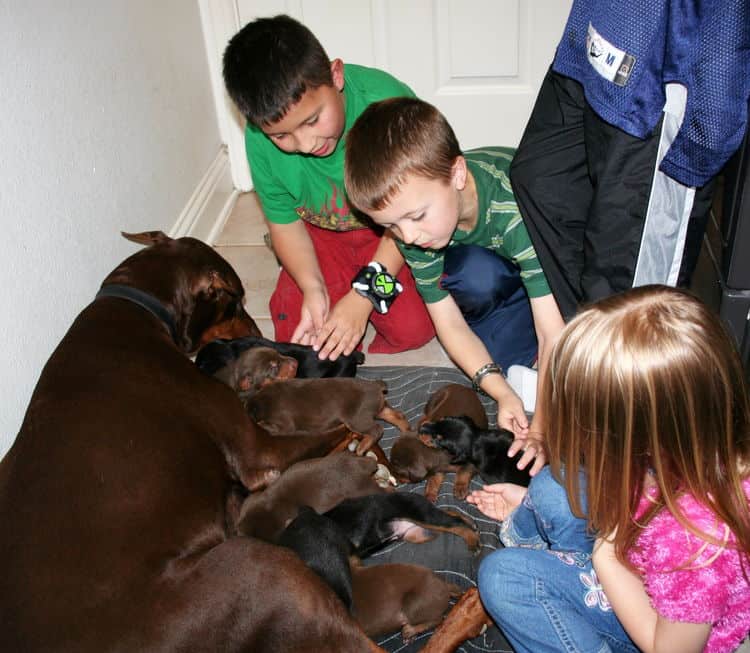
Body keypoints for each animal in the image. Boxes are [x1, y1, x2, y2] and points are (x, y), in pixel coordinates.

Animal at [0, 232, 384, 648]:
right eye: (235, 300)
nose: (257, 332)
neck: (132, 304)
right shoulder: (259, 453)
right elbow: (337, 430)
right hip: (267, 567)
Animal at [247, 376, 412, 454]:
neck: (263, 400)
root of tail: (376, 385)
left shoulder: (284, 425)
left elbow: (267, 426)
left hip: (356, 419)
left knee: (377, 430)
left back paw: (362, 447)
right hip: (379, 409)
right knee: (398, 416)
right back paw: (406, 432)